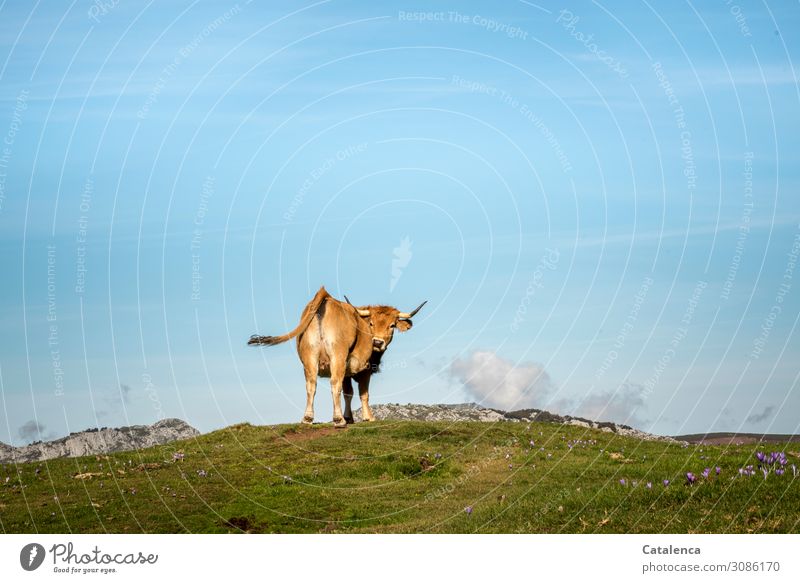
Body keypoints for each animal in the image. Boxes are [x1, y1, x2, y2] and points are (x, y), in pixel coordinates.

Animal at [248, 288, 424, 428]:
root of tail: (326, 297)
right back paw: (338, 420)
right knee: (334, 384)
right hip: (337, 357)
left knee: (311, 385)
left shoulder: (347, 370)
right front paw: (368, 417)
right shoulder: (364, 368)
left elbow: (348, 393)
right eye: (371, 323)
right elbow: (362, 393)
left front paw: (350, 417)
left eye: (392, 325)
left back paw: (308, 418)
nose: (377, 342)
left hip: (310, 357)